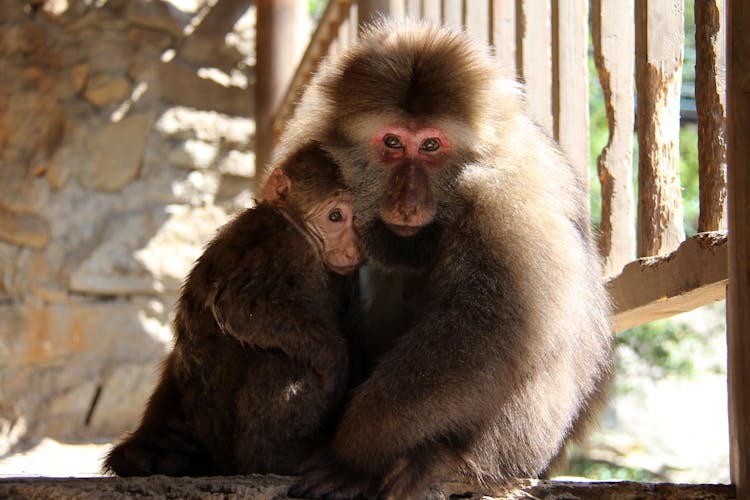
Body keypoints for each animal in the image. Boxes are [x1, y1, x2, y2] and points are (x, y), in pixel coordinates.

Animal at [105, 144, 362, 476]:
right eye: (335, 217)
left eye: (358, 220)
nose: (353, 249)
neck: (295, 225)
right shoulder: (284, 245)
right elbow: (239, 308)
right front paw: (334, 360)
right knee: (281, 360)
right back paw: (275, 459)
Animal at [274, 20, 612, 500]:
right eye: (393, 142)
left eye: (431, 144)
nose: (408, 201)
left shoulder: (506, 194)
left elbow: (493, 326)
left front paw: (356, 450)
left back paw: (441, 457)